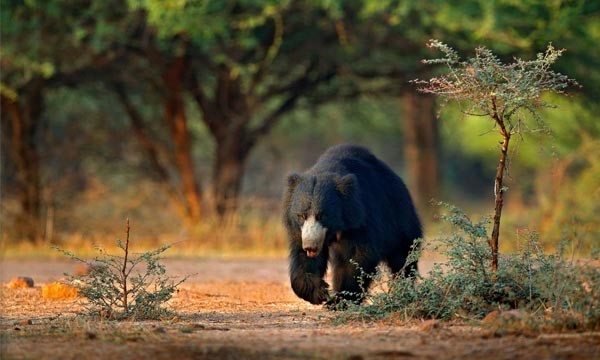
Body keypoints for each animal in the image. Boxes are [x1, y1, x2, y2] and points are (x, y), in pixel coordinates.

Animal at [282, 143, 420, 304]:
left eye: (322, 216)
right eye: (301, 216)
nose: (310, 246)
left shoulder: (362, 219)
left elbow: (357, 258)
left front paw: (340, 299)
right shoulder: (299, 230)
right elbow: (302, 257)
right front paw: (319, 291)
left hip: (400, 219)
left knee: (403, 256)